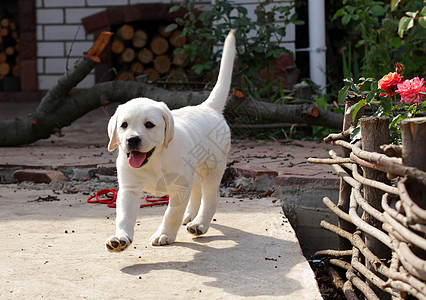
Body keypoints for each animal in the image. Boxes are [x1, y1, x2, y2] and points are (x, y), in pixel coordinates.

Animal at [104, 30, 235, 252]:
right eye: (123, 125)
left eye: (149, 124)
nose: (132, 140)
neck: (154, 160)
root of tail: (209, 107)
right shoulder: (129, 189)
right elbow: (124, 216)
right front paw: (120, 238)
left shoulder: (179, 188)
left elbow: (171, 213)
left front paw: (164, 234)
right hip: (195, 168)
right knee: (197, 189)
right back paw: (190, 215)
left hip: (212, 167)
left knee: (210, 196)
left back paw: (200, 223)